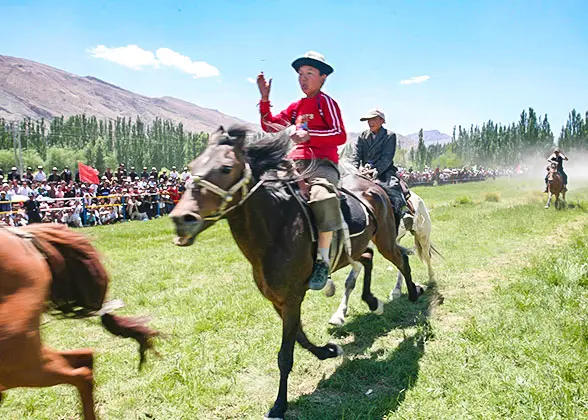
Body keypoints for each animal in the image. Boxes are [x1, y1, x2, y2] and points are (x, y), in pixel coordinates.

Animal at [170, 125, 422, 420]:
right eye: (191, 166)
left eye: (225, 167)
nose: (182, 219)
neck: (276, 230)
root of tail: (373, 185)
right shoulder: (278, 300)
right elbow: (299, 337)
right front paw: (326, 351)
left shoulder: (291, 298)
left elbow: (285, 355)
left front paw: (279, 404)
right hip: (357, 247)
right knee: (369, 259)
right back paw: (371, 301)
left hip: (385, 240)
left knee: (401, 259)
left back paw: (414, 294)